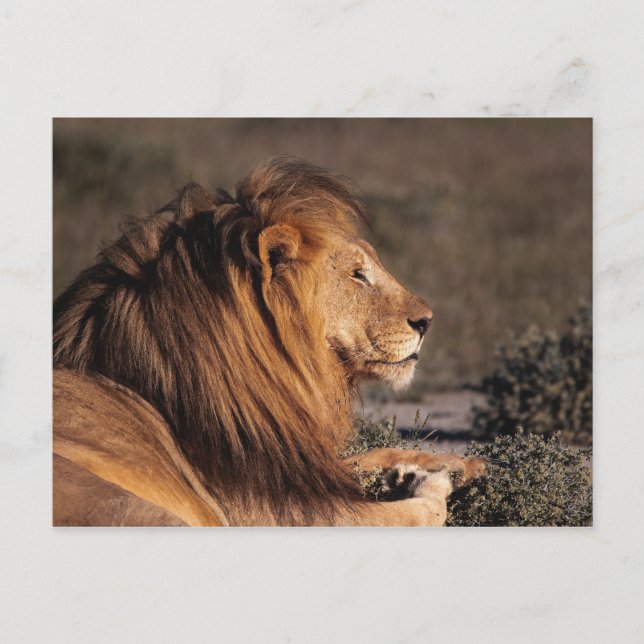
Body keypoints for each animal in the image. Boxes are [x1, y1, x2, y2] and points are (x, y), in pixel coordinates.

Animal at [53, 155, 488, 526]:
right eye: (357, 274)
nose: (427, 322)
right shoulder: (284, 510)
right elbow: (417, 512)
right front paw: (427, 479)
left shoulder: (299, 462)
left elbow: (377, 452)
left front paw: (462, 464)